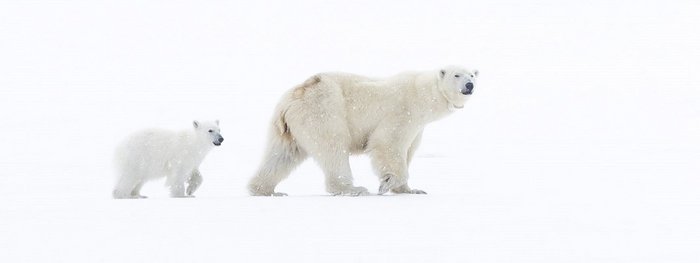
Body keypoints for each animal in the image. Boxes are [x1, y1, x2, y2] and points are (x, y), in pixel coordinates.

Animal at [249, 66, 478, 196]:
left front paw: (412, 190)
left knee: (281, 155)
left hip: (288, 127)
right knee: (334, 148)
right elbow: (387, 143)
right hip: (324, 112)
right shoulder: (403, 112)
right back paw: (352, 189)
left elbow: (408, 151)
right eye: (457, 74)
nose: (469, 85)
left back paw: (264, 190)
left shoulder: (418, 128)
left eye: (473, 75)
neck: (422, 94)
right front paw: (387, 183)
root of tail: (299, 92)